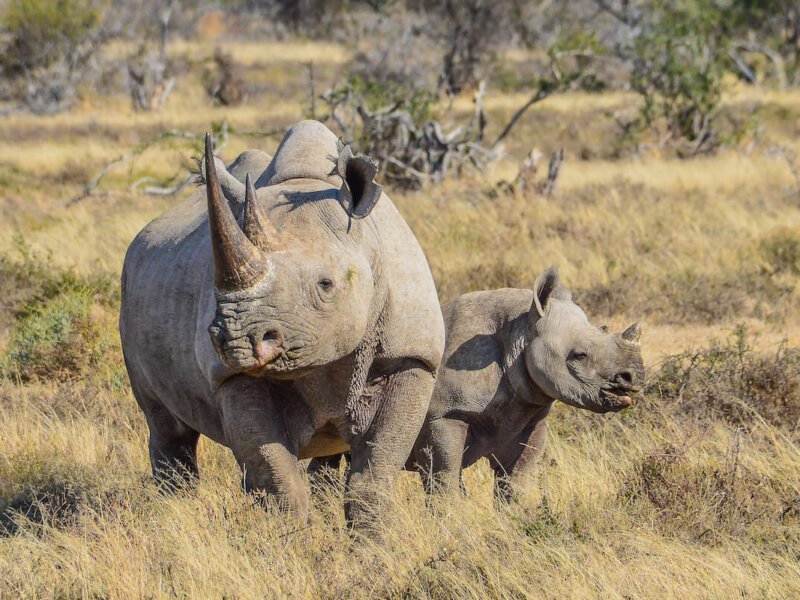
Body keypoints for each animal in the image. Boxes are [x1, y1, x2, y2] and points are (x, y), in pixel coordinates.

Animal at [119, 120, 445, 528]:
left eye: (326, 285)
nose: (236, 341)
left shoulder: (411, 356)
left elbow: (375, 473)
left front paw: (372, 541)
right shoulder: (231, 376)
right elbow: (278, 481)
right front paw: (293, 541)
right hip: (131, 288)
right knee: (167, 427)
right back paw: (174, 513)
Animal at [311, 267, 644, 501]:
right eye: (579, 355)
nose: (634, 379)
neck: (521, 330)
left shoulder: (530, 413)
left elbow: (516, 481)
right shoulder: (445, 414)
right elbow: (445, 477)